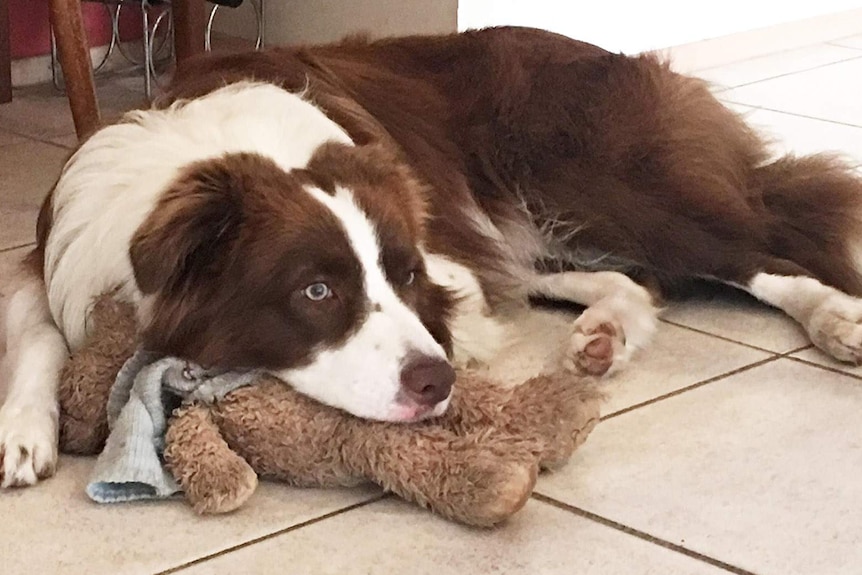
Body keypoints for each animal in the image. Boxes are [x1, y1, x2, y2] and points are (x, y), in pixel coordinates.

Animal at [1, 24, 862, 488]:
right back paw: (603, 335)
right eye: (316, 292)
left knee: (756, 249)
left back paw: (835, 316)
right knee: (625, 276)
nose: (437, 384)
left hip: (603, 180)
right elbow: (34, 329)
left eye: (401, 273)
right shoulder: (49, 255)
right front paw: (23, 431)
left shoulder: (448, 268)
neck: (205, 164)